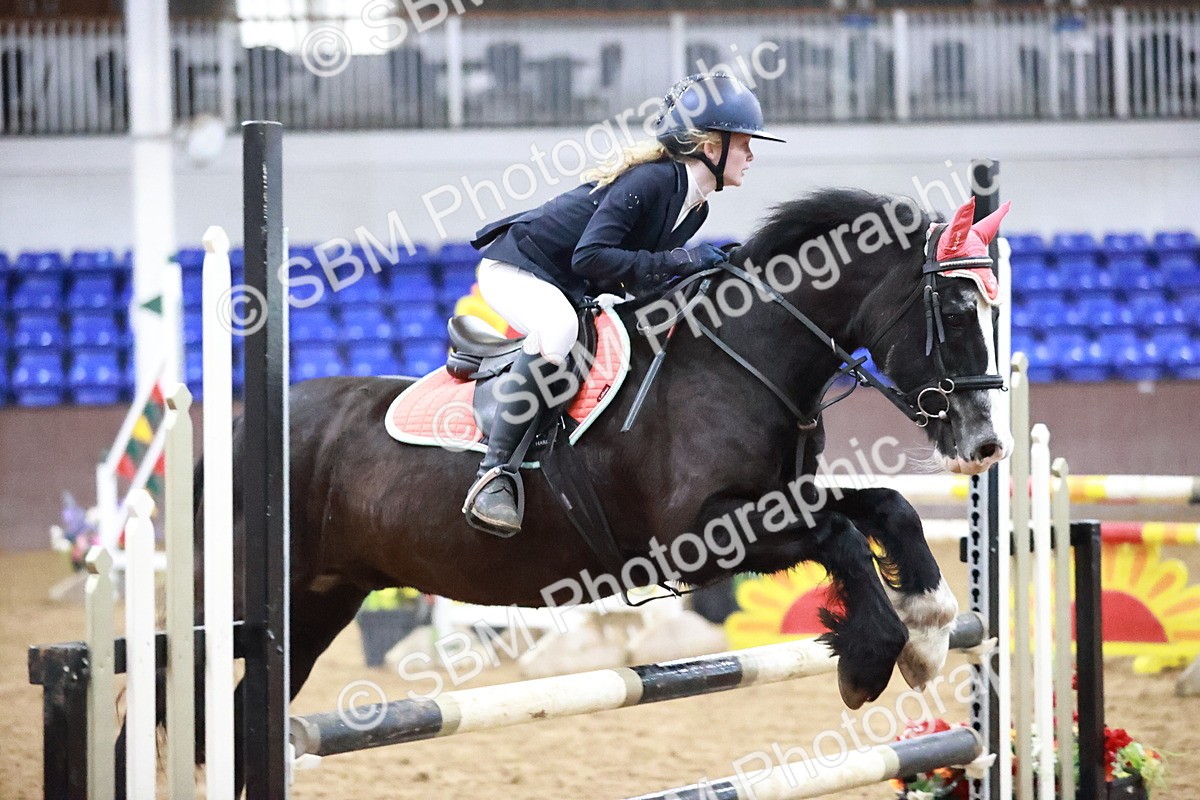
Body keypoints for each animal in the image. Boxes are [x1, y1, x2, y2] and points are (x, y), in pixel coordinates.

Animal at [122, 187, 1014, 795]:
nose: (987, 444)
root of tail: (243, 428)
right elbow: (842, 540)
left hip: (317, 605)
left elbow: (885, 510)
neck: (741, 358)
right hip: (238, 603)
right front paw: (872, 656)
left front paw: (930, 624)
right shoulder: (699, 537)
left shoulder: (782, 497)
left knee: (244, 719)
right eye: (953, 306)